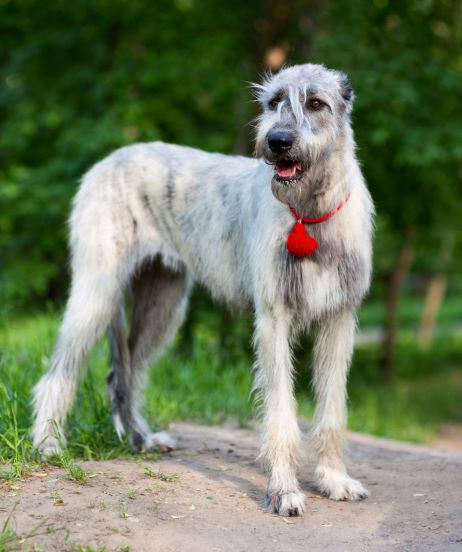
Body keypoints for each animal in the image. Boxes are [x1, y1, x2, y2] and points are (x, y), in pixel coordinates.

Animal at [32, 64, 374, 516]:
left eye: (316, 102)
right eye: (273, 102)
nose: (278, 141)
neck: (310, 214)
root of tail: (107, 159)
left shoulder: (339, 319)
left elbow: (333, 408)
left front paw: (334, 479)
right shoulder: (273, 320)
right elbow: (281, 412)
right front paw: (283, 490)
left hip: (163, 304)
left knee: (123, 373)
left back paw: (142, 440)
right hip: (97, 290)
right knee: (60, 372)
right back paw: (49, 444)